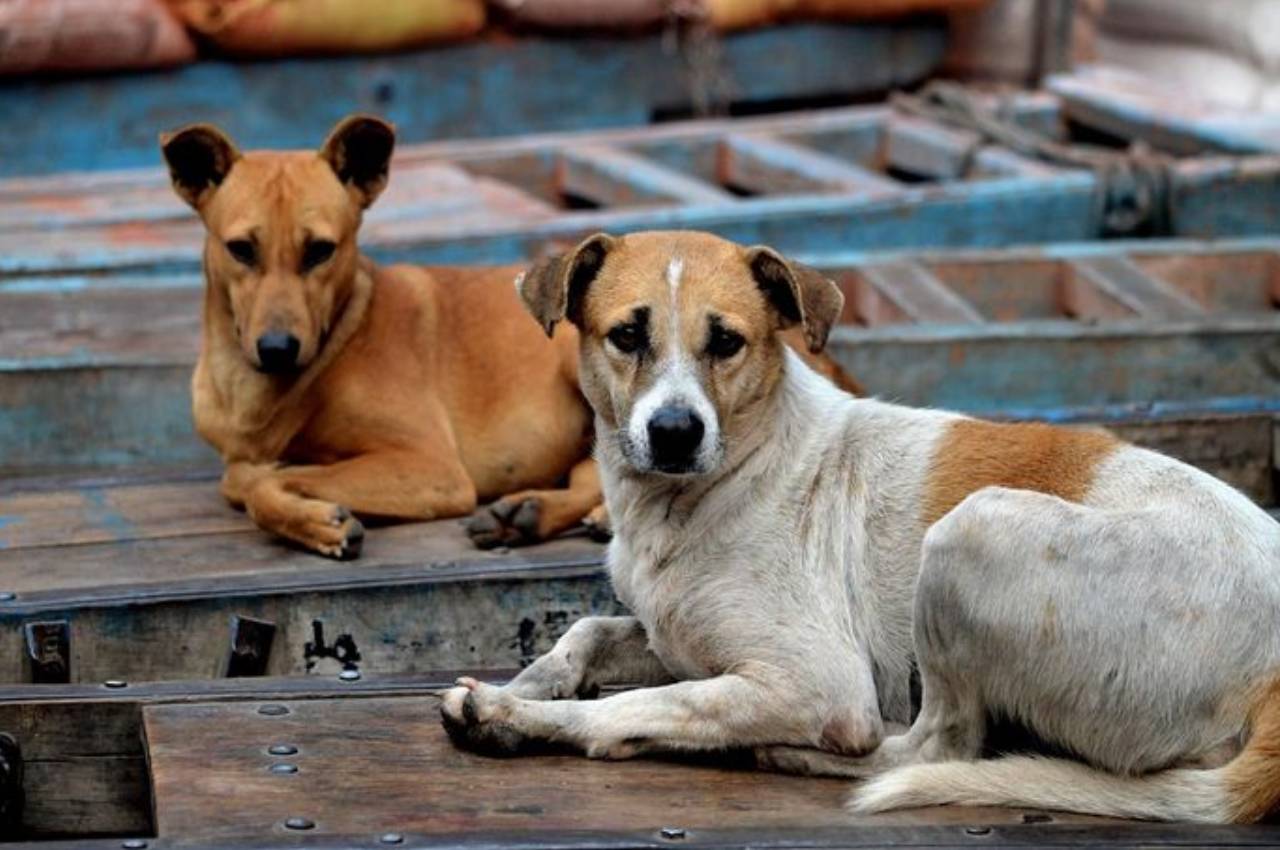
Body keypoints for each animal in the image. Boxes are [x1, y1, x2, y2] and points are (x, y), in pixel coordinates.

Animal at [160, 117, 860, 558]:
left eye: (320, 251)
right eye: (241, 249)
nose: (277, 349)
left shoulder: (430, 469)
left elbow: (252, 482)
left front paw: (316, 517)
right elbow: (245, 474)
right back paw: (528, 514)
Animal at [440, 229, 1280, 819]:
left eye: (726, 341)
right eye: (626, 336)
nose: (675, 433)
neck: (703, 494)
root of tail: (1271, 674)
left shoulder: (818, 681)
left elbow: (629, 707)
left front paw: (517, 715)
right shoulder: (676, 639)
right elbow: (586, 633)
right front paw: (534, 680)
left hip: (971, 532)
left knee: (931, 747)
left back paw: (794, 755)